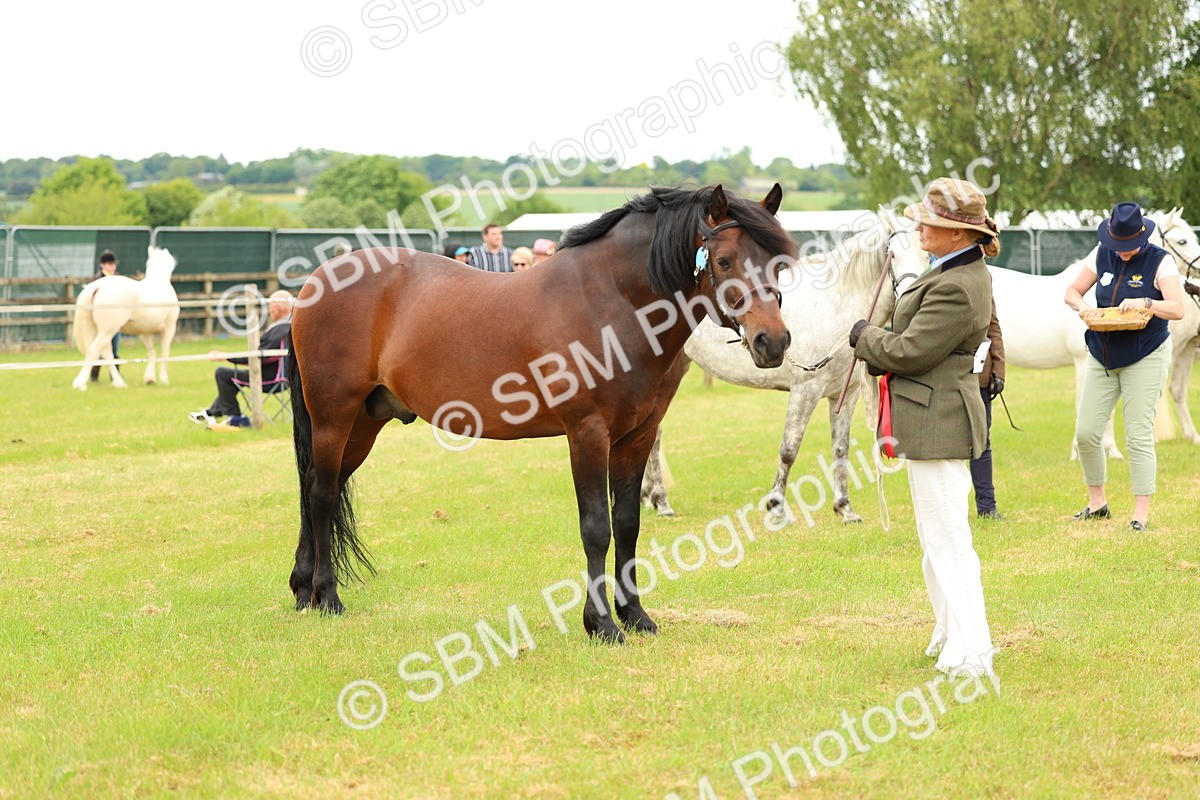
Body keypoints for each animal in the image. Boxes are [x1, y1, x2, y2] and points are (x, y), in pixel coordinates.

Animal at [71, 247, 180, 391]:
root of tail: (97, 287)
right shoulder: (169, 328)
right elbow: (165, 353)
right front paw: (164, 379)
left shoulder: (145, 332)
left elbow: (151, 352)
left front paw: (150, 379)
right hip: (108, 330)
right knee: (94, 350)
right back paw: (80, 383)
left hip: (103, 331)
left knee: (107, 354)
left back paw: (119, 383)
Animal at [287, 185, 795, 641]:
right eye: (724, 261)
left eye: (779, 263)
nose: (773, 342)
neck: (610, 302)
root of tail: (317, 281)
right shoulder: (588, 433)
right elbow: (596, 528)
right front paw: (601, 625)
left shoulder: (638, 436)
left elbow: (628, 524)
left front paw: (636, 616)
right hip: (334, 418)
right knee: (322, 495)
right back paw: (328, 597)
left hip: (364, 424)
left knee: (318, 488)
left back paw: (303, 590)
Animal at [640, 212, 928, 522]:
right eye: (892, 255)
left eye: (928, 255)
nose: (911, 298)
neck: (835, 305)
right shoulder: (805, 390)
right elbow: (789, 449)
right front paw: (776, 506)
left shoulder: (846, 395)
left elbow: (840, 448)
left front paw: (845, 508)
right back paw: (662, 502)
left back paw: (650, 498)